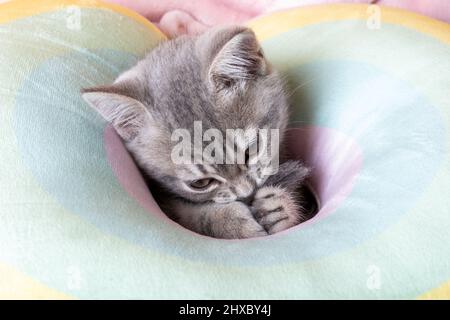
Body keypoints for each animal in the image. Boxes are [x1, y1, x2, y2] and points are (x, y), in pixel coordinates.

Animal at [81, 26, 312, 239]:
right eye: (200, 183)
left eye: (251, 150)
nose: (247, 193)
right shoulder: (166, 201)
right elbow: (191, 216)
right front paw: (232, 224)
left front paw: (279, 207)